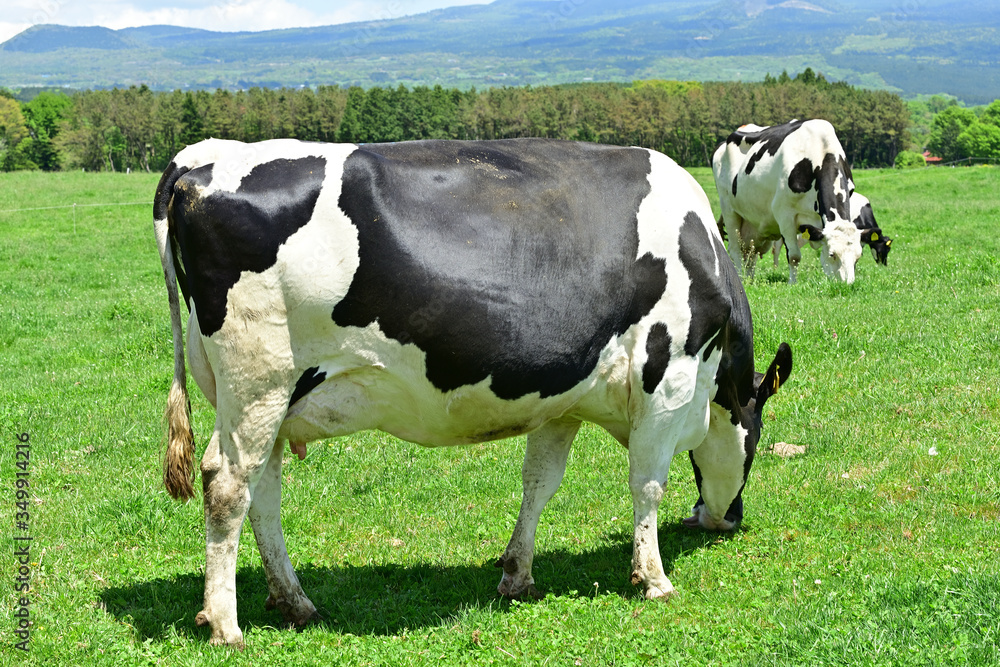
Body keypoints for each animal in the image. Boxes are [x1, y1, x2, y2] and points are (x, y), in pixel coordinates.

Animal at [152, 138, 792, 648]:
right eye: (756, 442)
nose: (727, 519)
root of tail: (199, 160)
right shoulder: (669, 376)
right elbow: (648, 484)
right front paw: (654, 579)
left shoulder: (561, 394)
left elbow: (540, 482)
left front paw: (518, 575)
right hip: (259, 382)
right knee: (227, 485)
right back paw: (225, 624)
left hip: (266, 399)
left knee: (262, 490)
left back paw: (294, 601)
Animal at [712, 118, 868, 284]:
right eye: (832, 254)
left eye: (858, 257)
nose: (847, 284)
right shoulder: (784, 214)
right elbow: (794, 256)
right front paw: (793, 283)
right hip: (729, 210)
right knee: (735, 249)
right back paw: (741, 279)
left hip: (752, 225)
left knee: (750, 252)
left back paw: (749, 279)